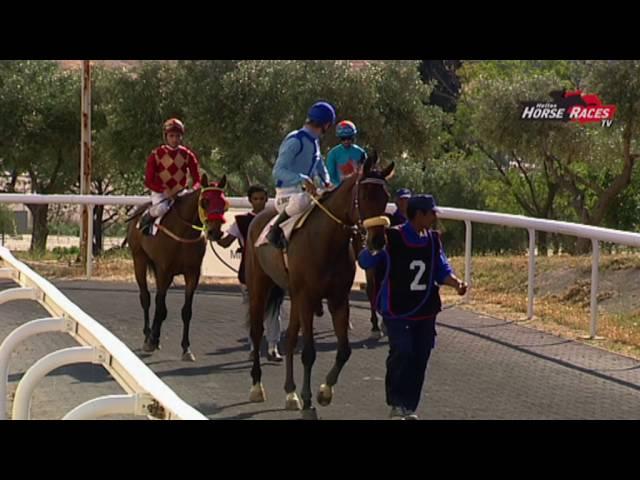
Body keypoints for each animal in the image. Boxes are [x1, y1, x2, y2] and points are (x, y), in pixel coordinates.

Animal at [126, 174, 229, 362]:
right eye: (205, 201)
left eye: (224, 203)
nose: (215, 233)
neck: (183, 234)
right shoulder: (164, 270)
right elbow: (160, 306)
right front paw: (152, 340)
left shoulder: (192, 274)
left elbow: (186, 311)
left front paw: (186, 348)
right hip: (139, 260)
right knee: (146, 298)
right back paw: (148, 335)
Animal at [245, 152, 396, 418]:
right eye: (366, 195)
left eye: (386, 197)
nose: (378, 241)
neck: (325, 242)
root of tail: (259, 217)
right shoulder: (307, 297)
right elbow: (309, 352)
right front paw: (308, 403)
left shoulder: (337, 298)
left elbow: (344, 350)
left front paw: (324, 391)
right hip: (259, 285)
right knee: (256, 331)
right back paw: (257, 387)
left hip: (293, 294)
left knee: (290, 338)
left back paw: (290, 393)